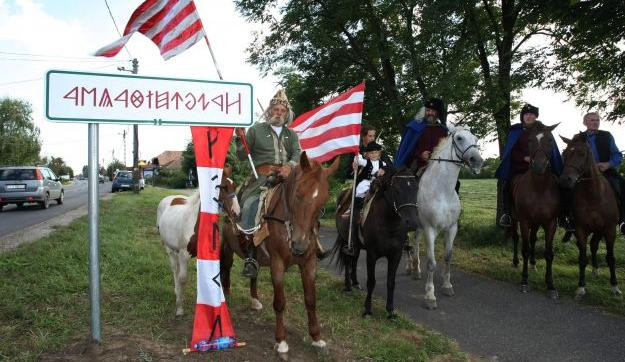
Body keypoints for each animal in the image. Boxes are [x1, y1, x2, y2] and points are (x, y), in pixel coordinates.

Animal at [156, 167, 239, 316]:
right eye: (222, 187)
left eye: (235, 186)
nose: (237, 213)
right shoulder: (184, 255)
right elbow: (183, 278)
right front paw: (179, 308)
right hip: (169, 249)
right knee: (175, 269)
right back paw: (177, 293)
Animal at [221, 152, 342, 354]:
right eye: (298, 194)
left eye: (324, 199)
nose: (300, 244)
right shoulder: (277, 264)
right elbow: (279, 302)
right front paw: (281, 341)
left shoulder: (309, 263)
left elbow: (311, 300)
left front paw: (316, 337)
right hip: (227, 248)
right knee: (225, 269)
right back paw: (225, 297)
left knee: (253, 272)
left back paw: (254, 300)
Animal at [404, 126, 482, 310]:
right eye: (459, 138)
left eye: (475, 139)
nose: (477, 161)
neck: (442, 190)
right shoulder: (430, 229)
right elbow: (431, 263)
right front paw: (430, 296)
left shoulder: (452, 228)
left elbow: (448, 257)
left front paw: (447, 285)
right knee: (408, 244)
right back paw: (410, 267)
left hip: (419, 227)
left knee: (415, 242)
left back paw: (416, 269)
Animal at [512, 123, 560, 298]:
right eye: (530, 140)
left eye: (550, 140)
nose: (539, 166)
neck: (539, 188)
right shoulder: (525, 221)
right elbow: (525, 249)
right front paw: (524, 281)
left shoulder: (550, 223)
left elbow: (548, 253)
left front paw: (550, 285)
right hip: (515, 218)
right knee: (516, 238)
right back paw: (515, 262)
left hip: (537, 222)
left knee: (533, 240)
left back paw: (533, 264)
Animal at [556, 134, 620, 300]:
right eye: (565, 154)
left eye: (582, 154)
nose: (565, 180)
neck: (593, 195)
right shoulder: (580, 229)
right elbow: (582, 257)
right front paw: (581, 287)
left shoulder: (610, 229)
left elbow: (611, 258)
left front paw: (615, 286)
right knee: (592, 246)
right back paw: (594, 270)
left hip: (600, 230)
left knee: (595, 245)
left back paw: (596, 271)